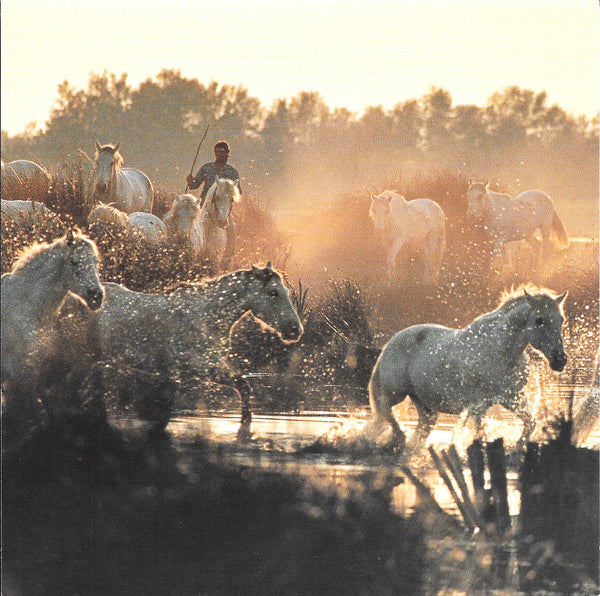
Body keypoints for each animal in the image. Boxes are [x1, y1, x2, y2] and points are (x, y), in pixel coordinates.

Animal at [60, 264, 302, 440]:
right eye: (273, 293)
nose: (295, 330)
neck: (207, 315)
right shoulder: (199, 367)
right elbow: (243, 384)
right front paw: (245, 424)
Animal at [368, 286, 568, 452]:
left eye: (561, 319)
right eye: (539, 320)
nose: (560, 360)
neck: (500, 350)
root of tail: (391, 342)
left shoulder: (511, 397)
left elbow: (530, 423)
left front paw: (517, 449)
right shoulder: (478, 405)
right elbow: (479, 434)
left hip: (423, 402)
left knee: (423, 426)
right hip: (395, 393)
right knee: (385, 409)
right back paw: (398, 439)